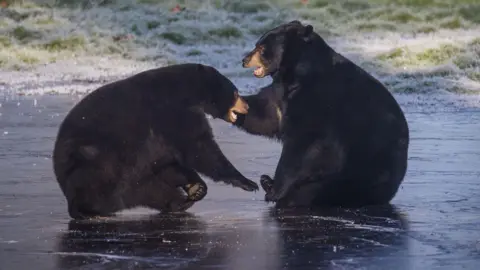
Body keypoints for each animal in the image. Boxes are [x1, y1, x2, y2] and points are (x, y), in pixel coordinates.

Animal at [53, 63, 258, 219]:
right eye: (236, 92)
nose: (247, 106)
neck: (188, 91)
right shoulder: (172, 112)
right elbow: (201, 149)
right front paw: (248, 182)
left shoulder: (159, 134)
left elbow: (166, 160)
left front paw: (196, 186)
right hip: (96, 160)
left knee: (148, 188)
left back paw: (181, 201)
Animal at [236, 21, 408, 208]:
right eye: (257, 44)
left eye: (261, 48)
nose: (244, 60)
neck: (299, 73)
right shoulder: (281, 93)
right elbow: (266, 115)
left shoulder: (316, 100)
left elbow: (301, 144)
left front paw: (276, 191)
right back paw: (267, 181)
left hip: (363, 168)